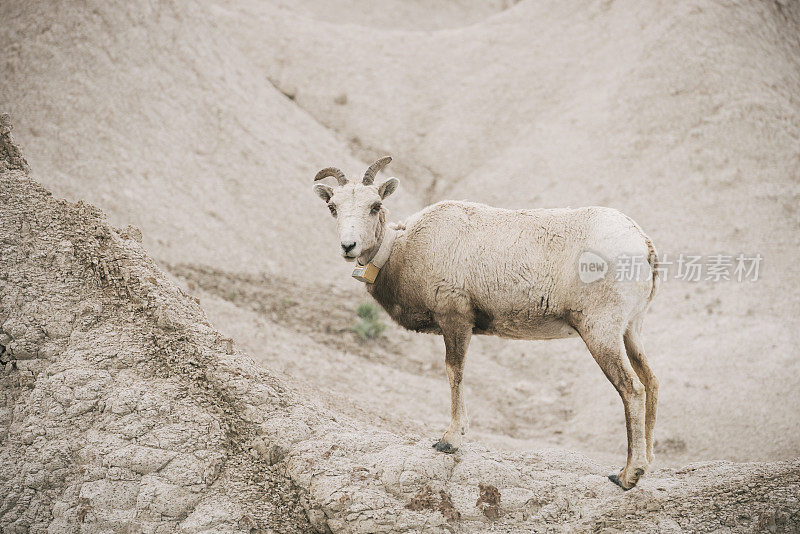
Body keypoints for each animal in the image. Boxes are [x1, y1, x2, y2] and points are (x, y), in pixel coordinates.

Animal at [314, 158, 664, 490]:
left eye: (375, 205)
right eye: (333, 207)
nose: (349, 246)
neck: (404, 250)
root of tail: (643, 244)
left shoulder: (455, 319)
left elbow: (454, 372)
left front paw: (449, 441)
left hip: (600, 332)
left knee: (632, 389)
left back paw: (627, 476)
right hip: (631, 330)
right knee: (650, 382)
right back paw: (646, 465)